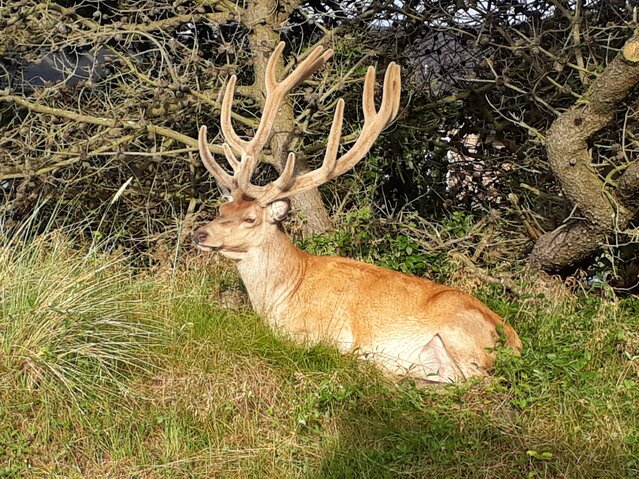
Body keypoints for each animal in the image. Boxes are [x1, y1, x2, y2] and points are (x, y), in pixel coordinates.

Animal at [192, 43, 524, 384]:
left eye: (250, 218)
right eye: (222, 208)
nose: (200, 233)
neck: (282, 294)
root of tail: (515, 344)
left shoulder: (324, 332)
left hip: (461, 332)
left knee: (476, 383)